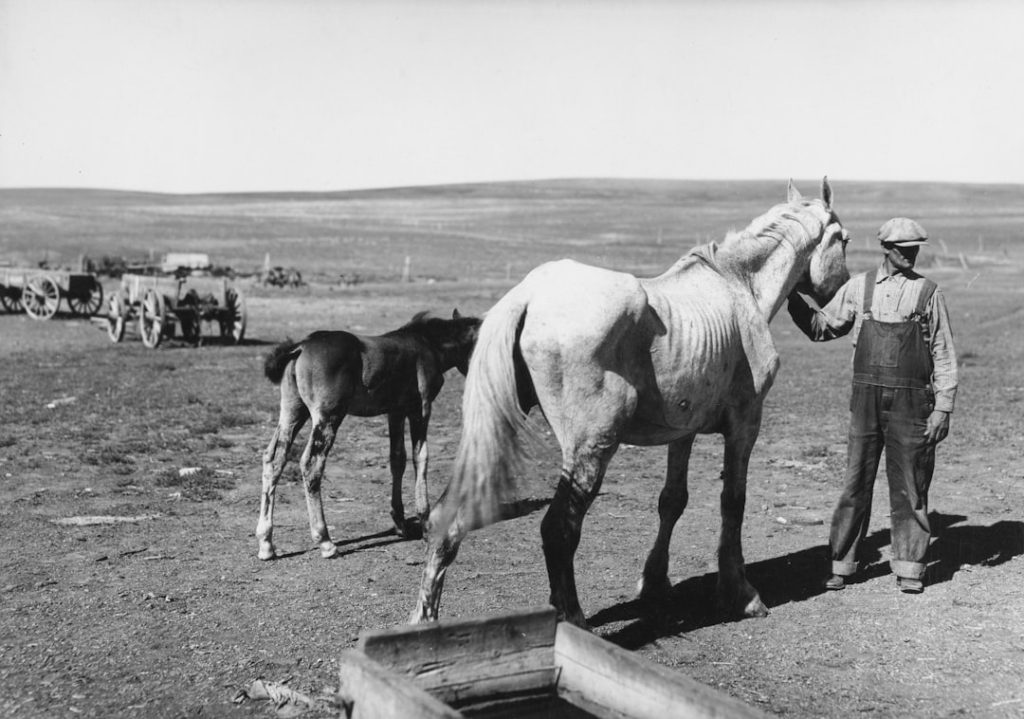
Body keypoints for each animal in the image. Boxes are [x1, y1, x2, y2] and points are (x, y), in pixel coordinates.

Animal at [256, 310, 481, 560]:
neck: (428, 344)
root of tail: (301, 346)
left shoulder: (396, 412)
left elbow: (397, 459)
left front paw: (400, 523)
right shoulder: (420, 409)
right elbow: (420, 458)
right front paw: (424, 520)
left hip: (292, 413)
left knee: (273, 460)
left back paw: (266, 543)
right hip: (327, 417)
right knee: (311, 465)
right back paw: (325, 541)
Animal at [411, 179, 850, 628]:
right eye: (844, 240)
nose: (840, 293)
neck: (738, 285)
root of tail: (527, 297)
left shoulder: (683, 432)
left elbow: (672, 501)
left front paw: (654, 583)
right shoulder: (745, 424)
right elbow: (733, 503)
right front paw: (740, 594)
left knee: (447, 518)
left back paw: (424, 620)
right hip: (593, 447)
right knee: (558, 529)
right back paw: (573, 620)